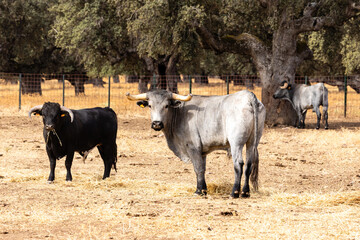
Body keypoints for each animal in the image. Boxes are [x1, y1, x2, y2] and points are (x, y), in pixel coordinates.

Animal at [126, 89, 264, 198]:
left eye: (166, 106)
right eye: (150, 105)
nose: (156, 124)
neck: (180, 113)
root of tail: (248, 95)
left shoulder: (193, 147)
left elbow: (198, 168)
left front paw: (198, 191)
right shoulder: (203, 151)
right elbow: (203, 168)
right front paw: (204, 189)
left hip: (236, 143)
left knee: (238, 164)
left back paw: (234, 192)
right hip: (252, 142)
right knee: (249, 164)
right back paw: (245, 192)